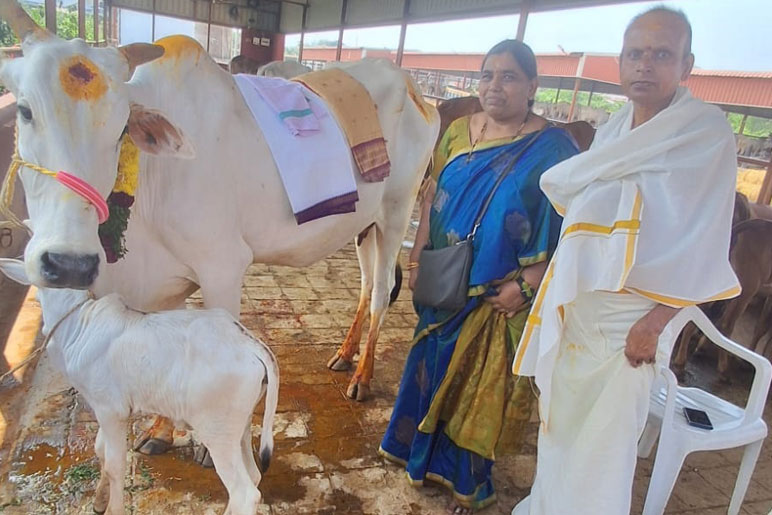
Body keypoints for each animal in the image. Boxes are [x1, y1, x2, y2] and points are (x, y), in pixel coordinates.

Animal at [0, 2, 434, 456]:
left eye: (122, 129)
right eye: (26, 111)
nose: (68, 263)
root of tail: (412, 85)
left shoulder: (222, 267)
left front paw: (208, 448)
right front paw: (160, 432)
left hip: (396, 211)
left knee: (383, 289)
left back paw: (362, 377)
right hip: (364, 223)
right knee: (367, 285)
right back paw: (345, 355)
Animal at [0, 258, 278, 515]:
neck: (81, 324)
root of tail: (252, 344)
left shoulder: (111, 410)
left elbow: (115, 465)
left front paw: (112, 508)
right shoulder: (104, 410)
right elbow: (101, 450)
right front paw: (99, 501)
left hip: (217, 431)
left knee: (245, 492)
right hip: (239, 427)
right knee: (254, 475)